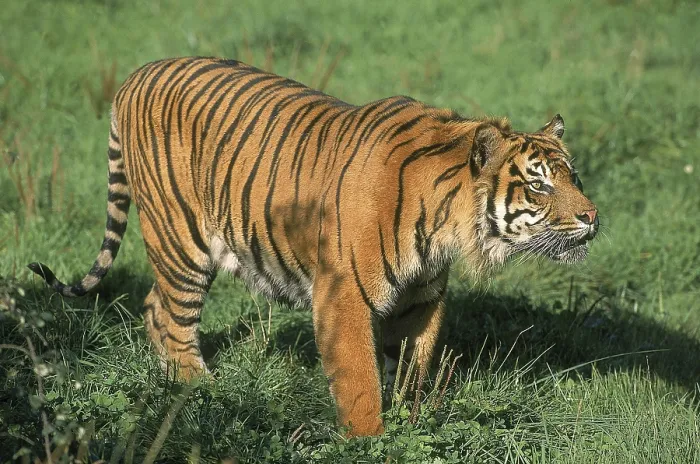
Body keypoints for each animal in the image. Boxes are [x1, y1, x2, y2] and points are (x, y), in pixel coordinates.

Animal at [29, 57, 599, 437]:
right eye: (538, 185)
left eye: (573, 177)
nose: (592, 217)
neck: (447, 221)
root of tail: (136, 73)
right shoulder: (343, 292)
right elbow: (361, 379)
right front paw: (372, 441)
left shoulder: (421, 298)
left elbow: (412, 369)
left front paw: (412, 421)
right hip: (180, 238)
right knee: (169, 314)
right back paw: (201, 392)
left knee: (153, 306)